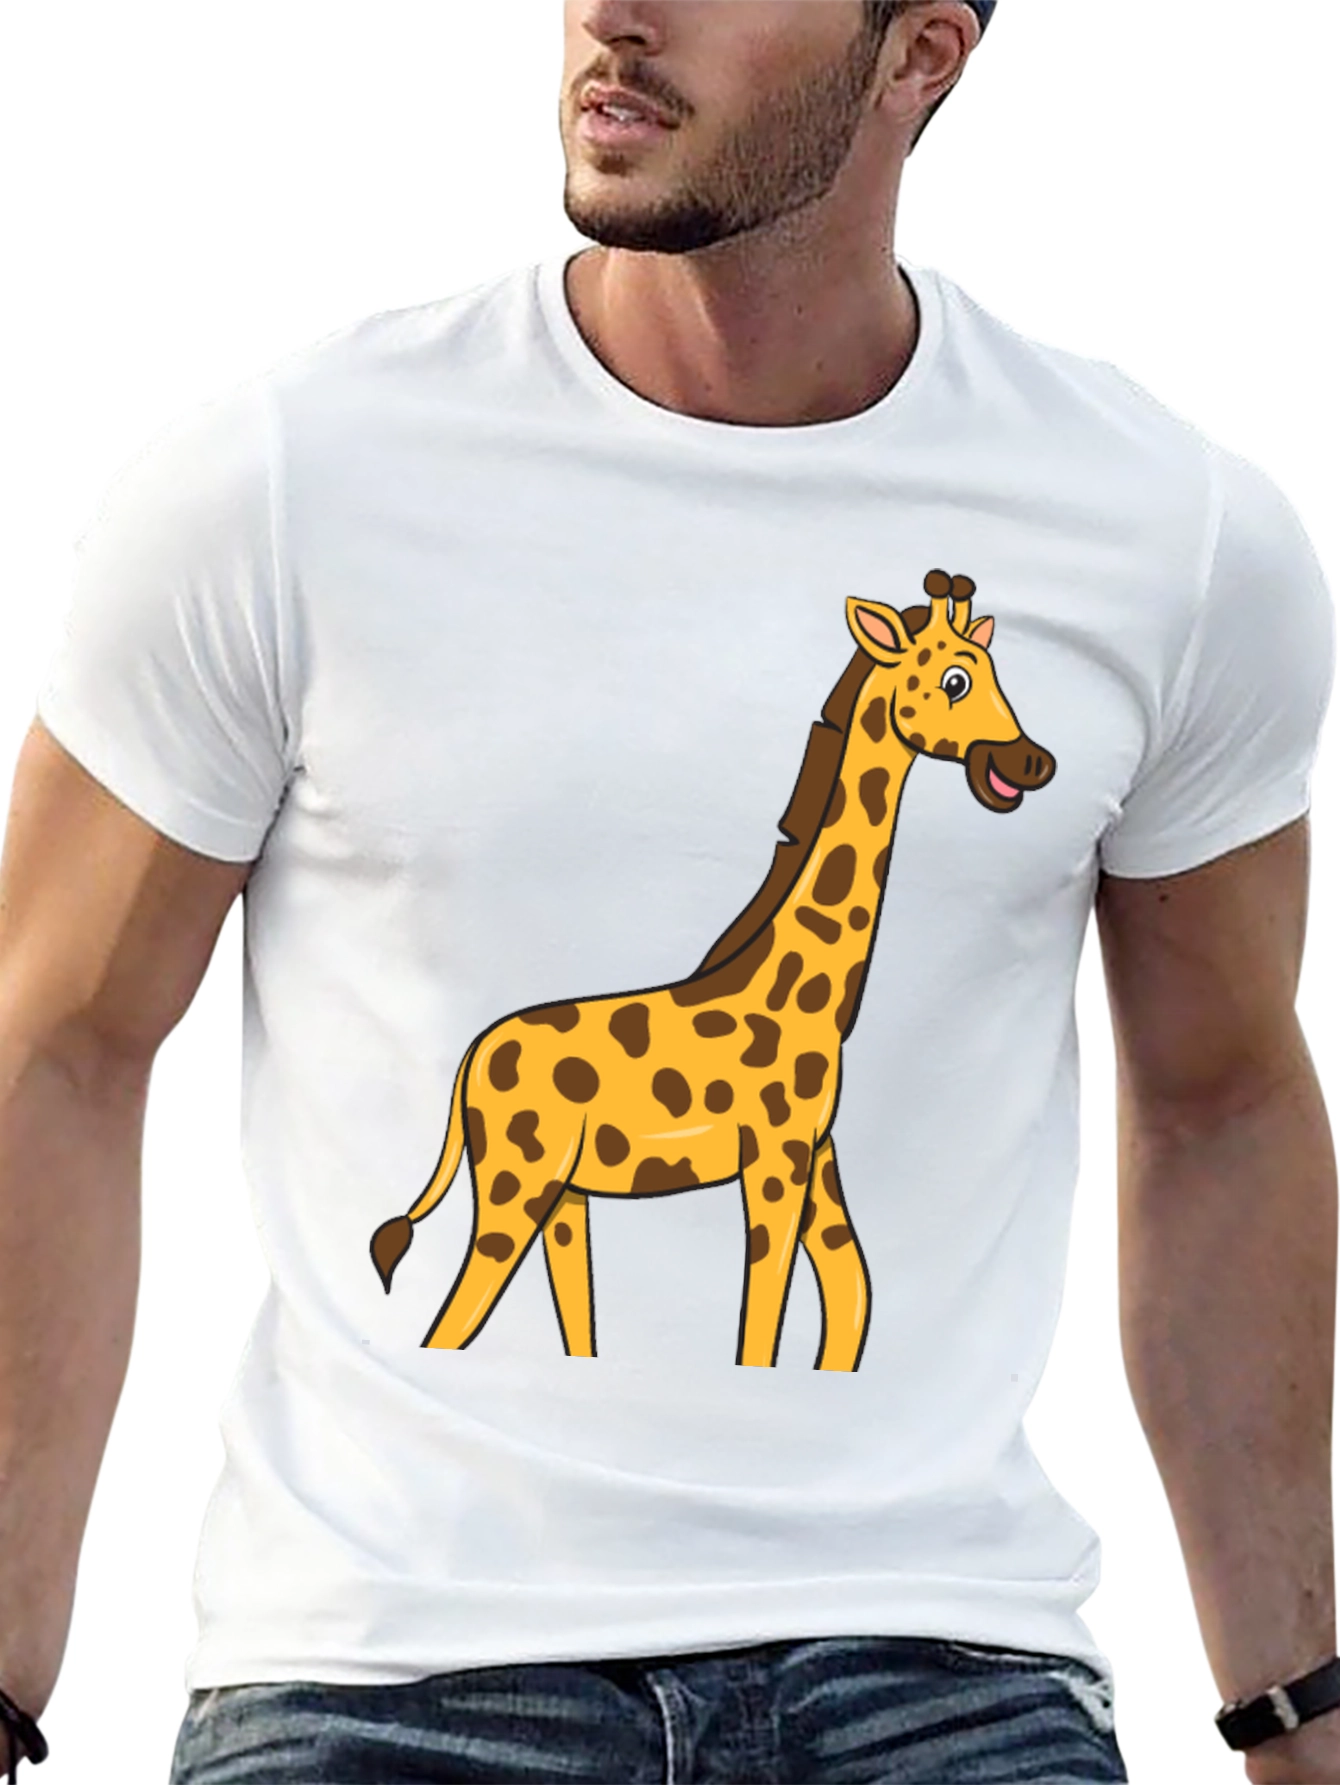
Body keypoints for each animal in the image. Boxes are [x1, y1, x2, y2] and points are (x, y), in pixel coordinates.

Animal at [370, 571, 1057, 1371]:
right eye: (954, 680)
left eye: (997, 672)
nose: (1034, 761)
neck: (811, 998)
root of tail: (471, 1062)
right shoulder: (775, 1156)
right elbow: (762, 1327)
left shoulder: (816, 1151)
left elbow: (849, 1291)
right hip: (519, 1181)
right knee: (450, 1323)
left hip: (563, 1194)